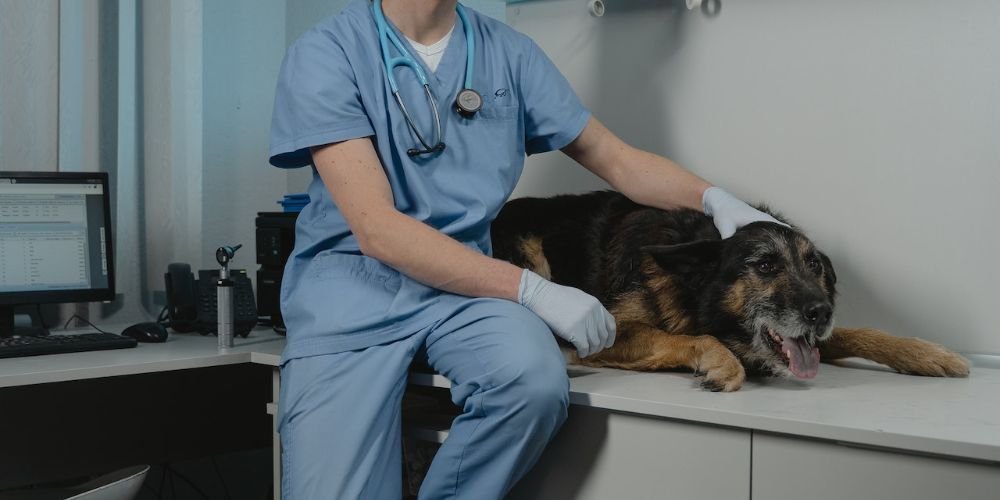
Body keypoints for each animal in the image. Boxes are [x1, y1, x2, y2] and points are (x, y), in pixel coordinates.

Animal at [492, 190, 968, 390]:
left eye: (814, 266)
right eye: (765, 265)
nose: (822, 312)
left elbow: (860, 333)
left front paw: (927, 354)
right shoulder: (610, 329)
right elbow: (686, 337)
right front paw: (722, 364)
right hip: (528, 251)